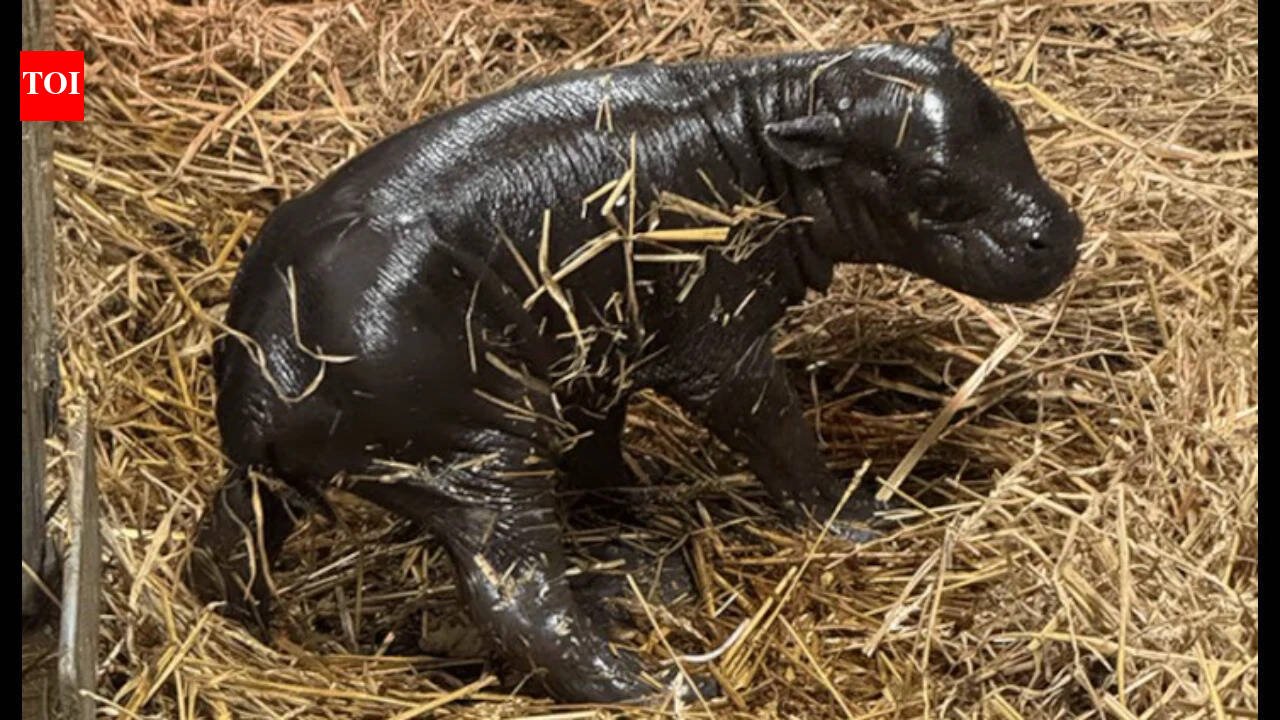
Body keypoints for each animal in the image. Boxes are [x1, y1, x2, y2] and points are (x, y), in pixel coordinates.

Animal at [186, 28, 1081, 703]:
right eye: (926, 177)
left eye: (1010, 117)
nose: (1060, 234)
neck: (766, 127)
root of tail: (265, 374)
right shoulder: (716, 345)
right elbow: (778, 434)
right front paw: (861, 518)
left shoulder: (597, 353)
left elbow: (601, 450)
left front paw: (646, 516)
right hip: (478, 462)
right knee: (522, 606)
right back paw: (669, 686)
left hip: (300, 474)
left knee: (229, 538)